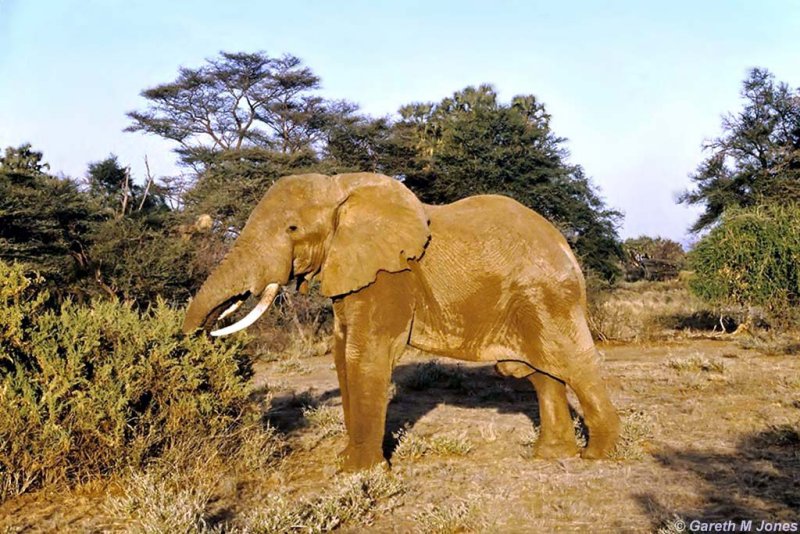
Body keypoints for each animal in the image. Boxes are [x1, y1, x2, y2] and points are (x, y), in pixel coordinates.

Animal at [184, 174, 620, 472]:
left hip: (547, 295)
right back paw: (549, 454)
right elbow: (342, 353)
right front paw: (348, 461)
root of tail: (565, 245)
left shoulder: (389, 275)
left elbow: (365, 353)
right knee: (541, 373)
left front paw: (358, 472)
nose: (199, 338)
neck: (340, 190)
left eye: (292, 228)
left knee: (571, 362)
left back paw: (597, 455)